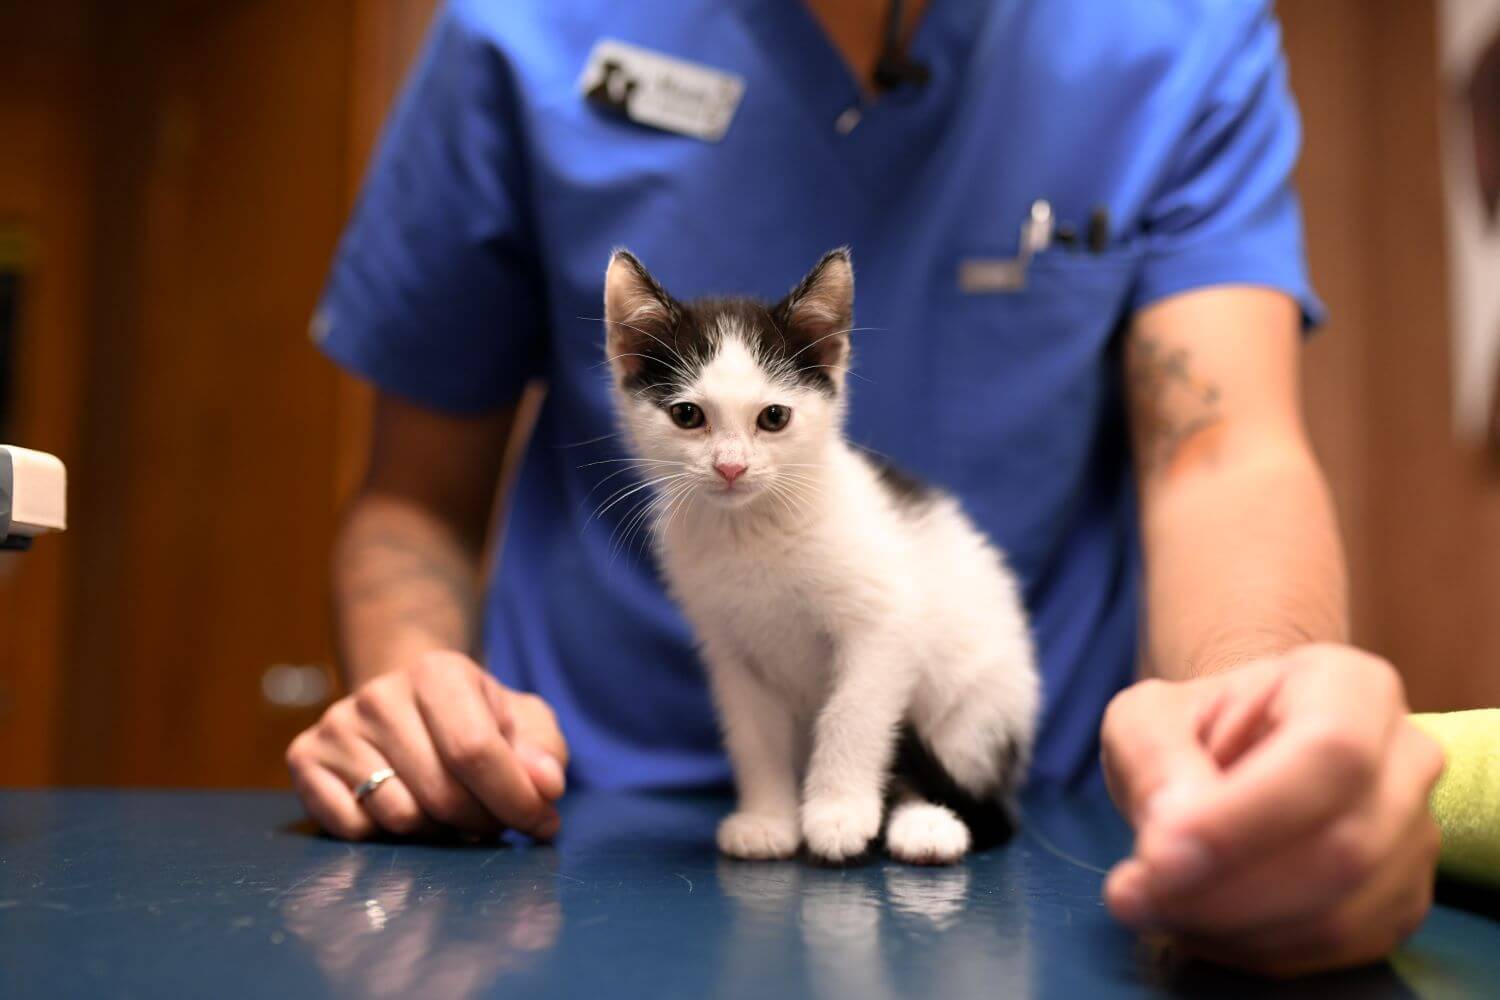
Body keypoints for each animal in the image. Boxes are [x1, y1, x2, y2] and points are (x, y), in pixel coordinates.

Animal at [603, 251, 1038, 869]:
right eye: (687, 415)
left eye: (774, 418)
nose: (731, 467)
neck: (752, 530)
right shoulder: (730, 649)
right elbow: (754, 733)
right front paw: (768, 819)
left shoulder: (884, 625)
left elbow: (852, 715)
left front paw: (838, 814)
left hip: (980, 705)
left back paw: (925, 824)